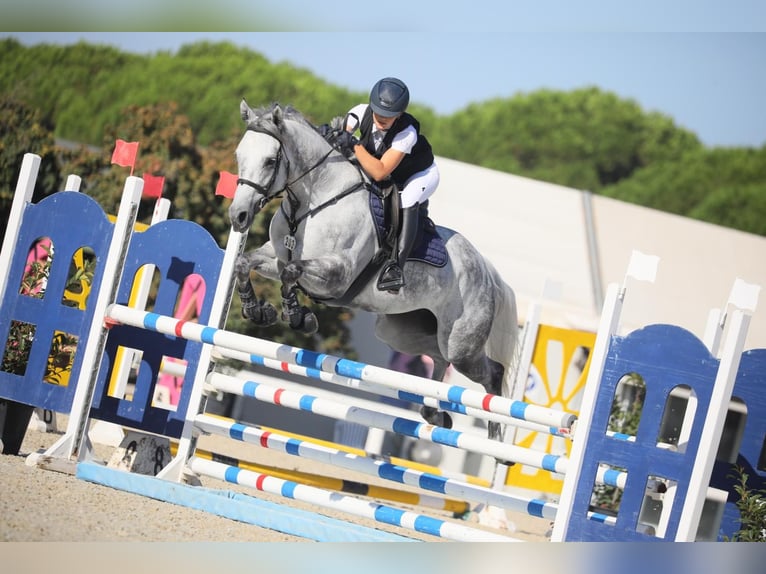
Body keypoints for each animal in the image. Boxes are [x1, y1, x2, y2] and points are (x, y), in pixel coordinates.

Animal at [228, 101, 520, 440]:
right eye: (239, 155)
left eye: (270, 160)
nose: (238, 216)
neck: (313, 203)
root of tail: (488, 273)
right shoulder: (273, 256)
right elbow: (246, 263)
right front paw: (257, 310)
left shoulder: (337, 276)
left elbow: (291, 271)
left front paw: (298, 316)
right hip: (401, 332)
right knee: (437, 358)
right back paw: (434, 414)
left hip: (462, 345)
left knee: (490, 372)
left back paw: (496, 436)